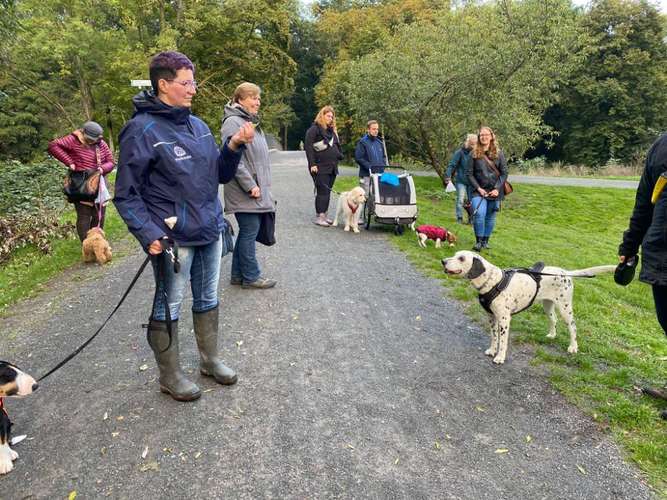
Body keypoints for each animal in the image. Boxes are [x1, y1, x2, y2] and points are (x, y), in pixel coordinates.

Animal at [444, 250, 616, 364]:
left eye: (461, 258)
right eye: (454, 254)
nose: (443, 261)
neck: (493, 282)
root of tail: (565, 273)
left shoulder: (504, 320)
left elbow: (503, 342)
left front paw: (499, 357)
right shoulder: (492, 317)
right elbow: (494, 338)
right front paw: (492, 351)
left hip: (565, 308)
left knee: (573, 327)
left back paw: (573, 347)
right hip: (548, 305)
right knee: (554, 320)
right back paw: (552, 335)